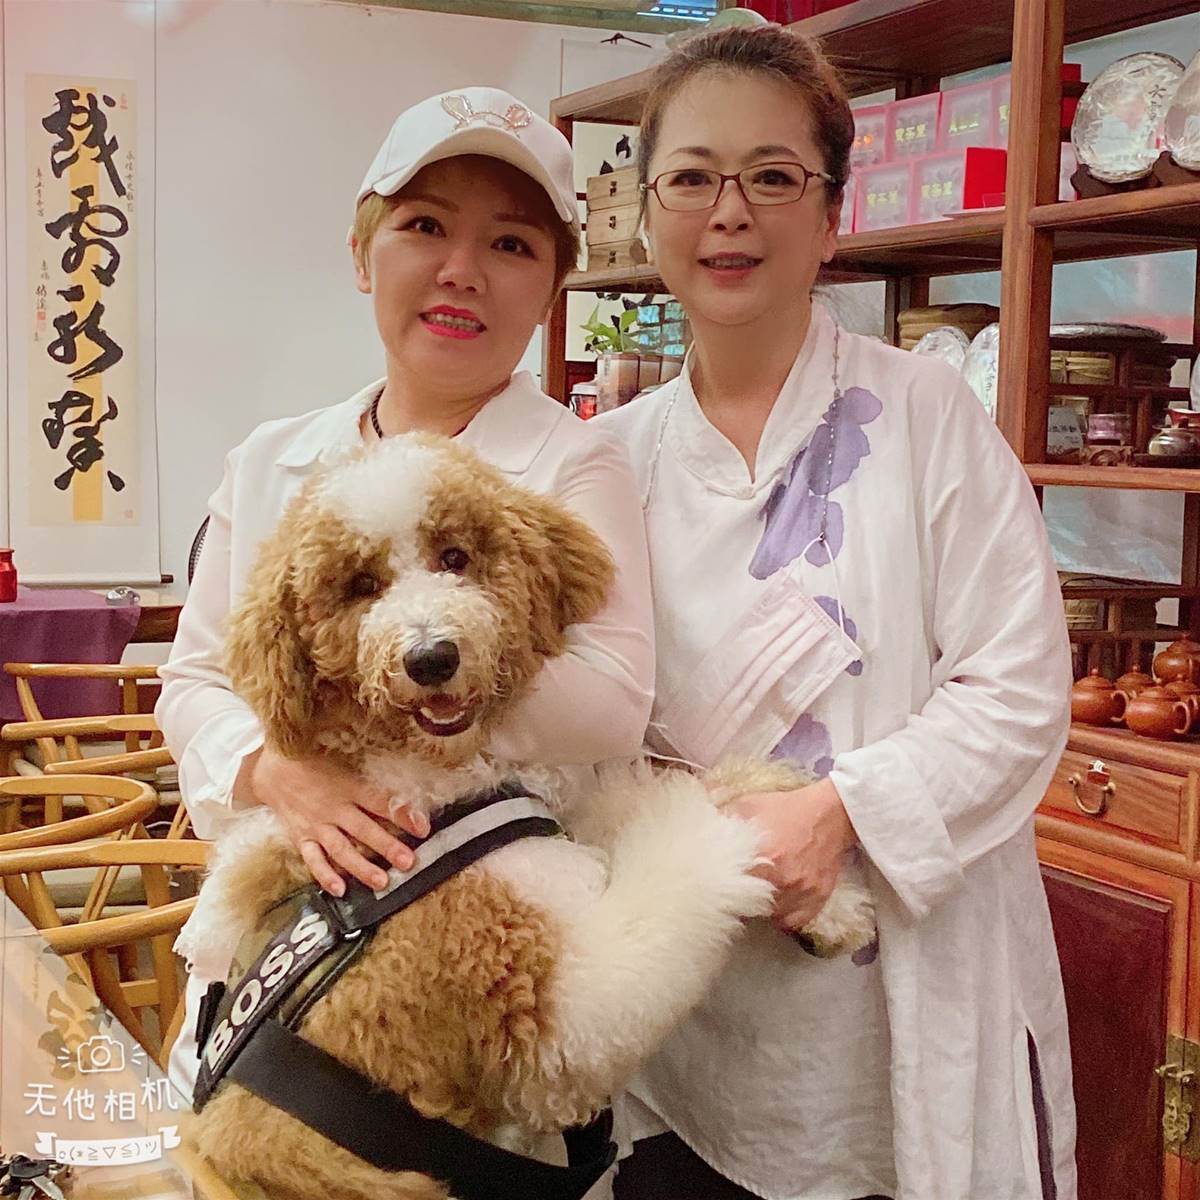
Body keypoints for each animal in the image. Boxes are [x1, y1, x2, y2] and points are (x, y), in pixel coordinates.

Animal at [181, 434, 873, 1200]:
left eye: (454, 556)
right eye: (361, 586)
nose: (431, 656)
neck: (437, 793)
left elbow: (654, 800)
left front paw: (826, 896)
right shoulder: (558, 1015)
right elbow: (685, 845)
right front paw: (765, 844)